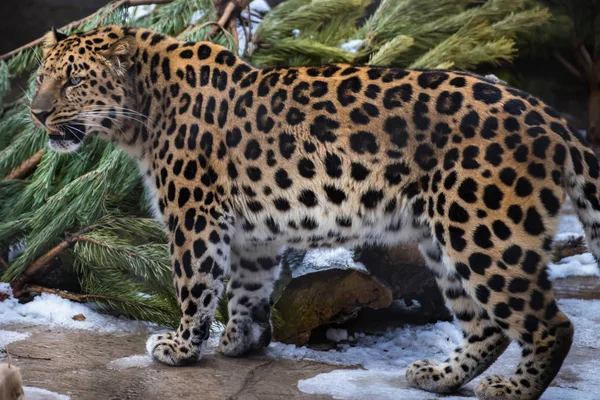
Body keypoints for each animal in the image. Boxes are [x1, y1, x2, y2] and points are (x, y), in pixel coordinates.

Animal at [28, 25, 600, 400]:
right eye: (41, 77)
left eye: (74, 81)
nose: (34, 112)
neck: (143, 110)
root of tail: (551, 117)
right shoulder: (253, 233)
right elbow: (247, 286)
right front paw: (242, 340)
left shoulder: (195, 214)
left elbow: (195, 282)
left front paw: (182, 346)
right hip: (445, 238)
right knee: (486, 326)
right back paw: (439, 377)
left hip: (485, 232)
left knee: (551, 324)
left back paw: (513, 389)